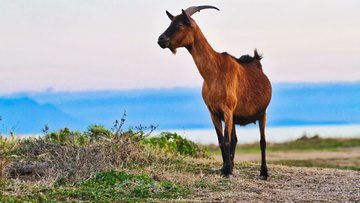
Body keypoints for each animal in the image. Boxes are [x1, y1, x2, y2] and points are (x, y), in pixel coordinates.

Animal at [158, 5, 272, 178]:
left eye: (180, 25)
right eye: (171, 23)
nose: (161, 40)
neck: (214, 72)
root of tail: (257, 62)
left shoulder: (227, 109)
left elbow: (227, 140)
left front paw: (227, 171)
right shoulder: (213, 112)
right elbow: (221, 140)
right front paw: (225, 168)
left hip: (262, 113)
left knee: (262, 141)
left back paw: (264, 172)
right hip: (235, 116)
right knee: (236, 139)